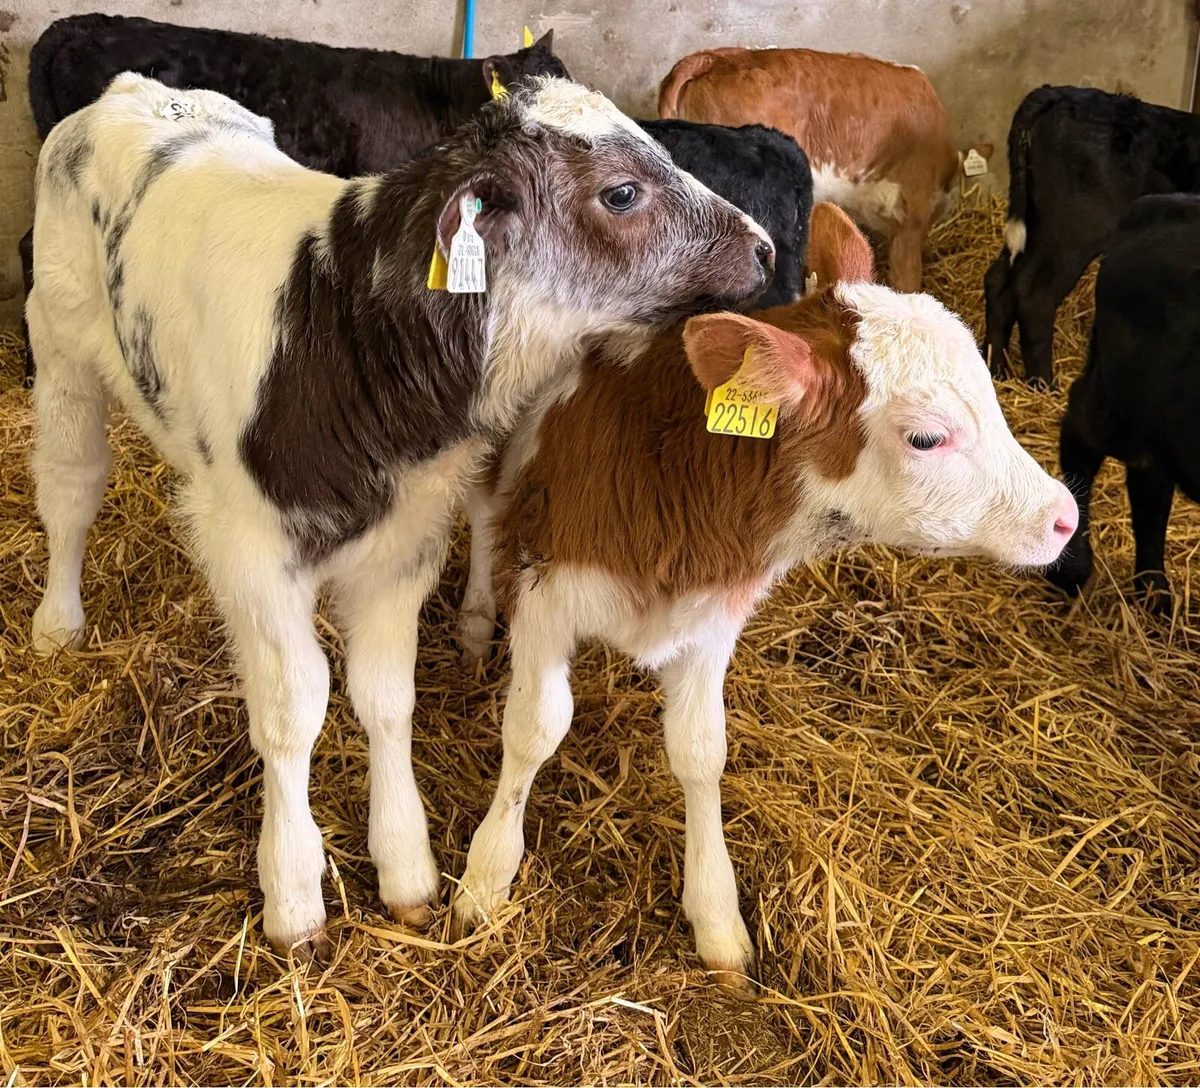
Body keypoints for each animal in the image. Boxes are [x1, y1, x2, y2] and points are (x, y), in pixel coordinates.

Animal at [28, 73, 774, 957]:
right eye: (621, 193)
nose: (765, 247)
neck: (344, 335)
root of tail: (137, 89)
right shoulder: (254, 552)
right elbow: (293, 710)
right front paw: (293, 896)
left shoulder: (404, 547)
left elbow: (385, 696)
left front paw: (407, 868)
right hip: (60, 348)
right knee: (70, 489)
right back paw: (57, 622)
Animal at [449, 204, 1078, 988]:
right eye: (926, 438)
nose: (1064, 515)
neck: (671, 473)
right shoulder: (547, 596)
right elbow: (534, 729)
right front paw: (485, 878)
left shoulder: (712, 619)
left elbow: (700, 750)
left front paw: (717, 918)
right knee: (481, 512)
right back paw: (475, 621)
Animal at [983, 86, 1200, 387]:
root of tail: (1059, 93)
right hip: (1076, 230)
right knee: (1035, 295)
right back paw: (1043, 385)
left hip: (1038, 224)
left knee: (999, 280)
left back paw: (994, 370)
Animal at [1048, 194, 1200, 611]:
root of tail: (1163, 204)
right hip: (1125, 396)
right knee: (1079, 434)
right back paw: (1073, 566)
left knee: (1149, 482)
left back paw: (1154, 592)